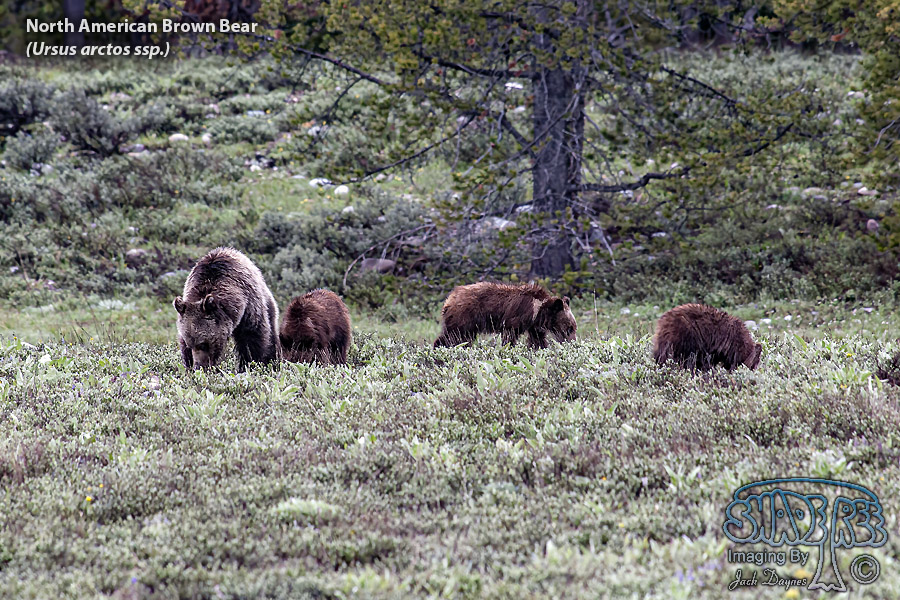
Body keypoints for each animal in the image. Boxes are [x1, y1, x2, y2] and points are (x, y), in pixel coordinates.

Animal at [433, 282, 576, 349]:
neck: (538, 310)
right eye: (569, 328)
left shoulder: (534, 327)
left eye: (574, 327)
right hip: (464, 317)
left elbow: (538, 340)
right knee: (453, 337)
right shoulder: (517, 317)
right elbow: (509, 336)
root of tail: (449, 299)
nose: (573, 342)